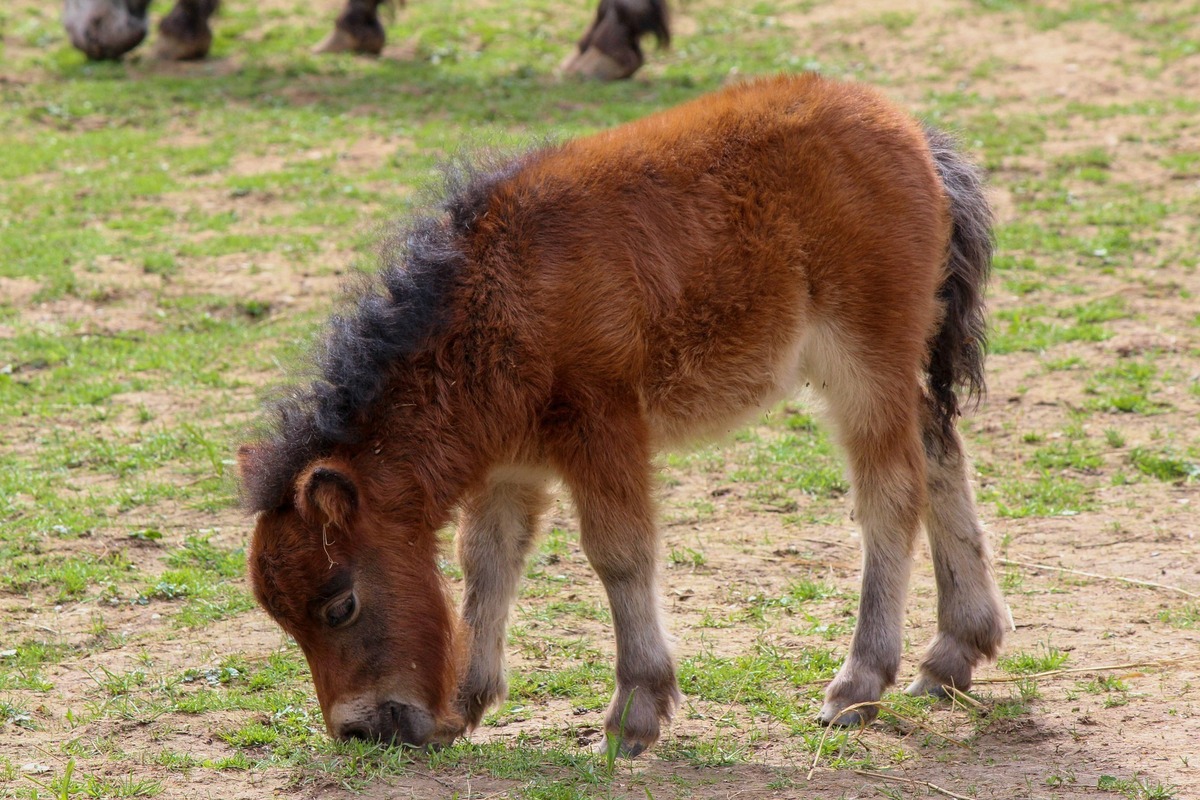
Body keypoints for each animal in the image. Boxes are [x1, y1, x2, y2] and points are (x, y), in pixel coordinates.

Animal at [238, 71, 1008, 753]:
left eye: (340, 603)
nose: (361, 730)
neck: (501, 292)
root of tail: (914, 136)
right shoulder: (510, 465)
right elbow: (486, 561)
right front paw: (466, 705)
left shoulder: (602, 431)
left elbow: (618, 553)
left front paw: (634, 713)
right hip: (886, 373)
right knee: (940, 454)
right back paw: (952, 656)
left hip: (863, 369)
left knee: (892, 494)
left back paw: (857, 687)